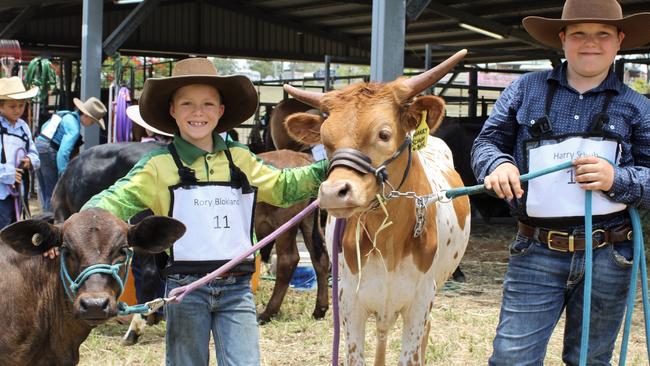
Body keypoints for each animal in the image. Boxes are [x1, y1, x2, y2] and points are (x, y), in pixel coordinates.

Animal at [284, 49, 470, 366]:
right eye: (325, 141)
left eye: (383, 134)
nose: (334, 193)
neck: (390, 240)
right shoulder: (350, 303)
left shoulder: (420, 303)